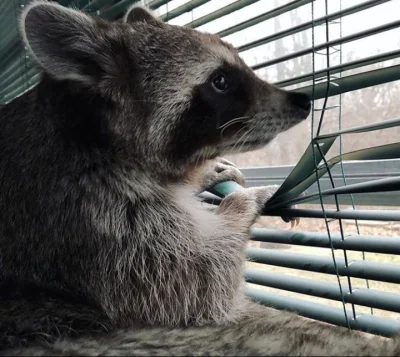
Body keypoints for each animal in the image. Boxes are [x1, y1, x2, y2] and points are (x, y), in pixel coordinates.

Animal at [1, 1, 398, 354]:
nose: (302, 100)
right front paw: (243, 203)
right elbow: (196, 284)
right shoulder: (94, 218)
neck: (98, 136)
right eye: (220, 81)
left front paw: (207, 175)